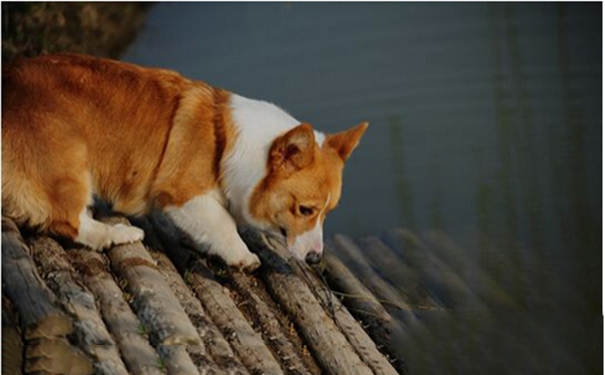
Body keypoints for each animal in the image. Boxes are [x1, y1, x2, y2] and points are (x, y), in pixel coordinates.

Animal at [3, 53, 368, 270]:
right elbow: (223, 223)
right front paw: (242, 256)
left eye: (327, 212)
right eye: (305, 210)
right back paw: (118, 234)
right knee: (67, 219)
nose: (315, 259)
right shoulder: (182, 193)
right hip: (70, 162)